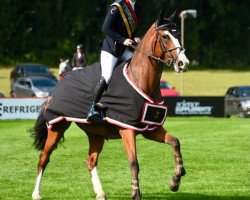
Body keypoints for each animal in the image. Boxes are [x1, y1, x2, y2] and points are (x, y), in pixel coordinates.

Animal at [30, 10, 188, 200]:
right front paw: (136, 193)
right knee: (43, 158)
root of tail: (61, 80)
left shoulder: (150, 128)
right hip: (57, 126)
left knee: (90, 161)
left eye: (178, 34)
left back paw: (100, 193)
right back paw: (36, 193)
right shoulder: (127, 129)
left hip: (95, 133)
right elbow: (133, 162)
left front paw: (175, 180)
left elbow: (175, 142)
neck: (142, 79)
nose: (183, 63)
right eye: (165, 36)